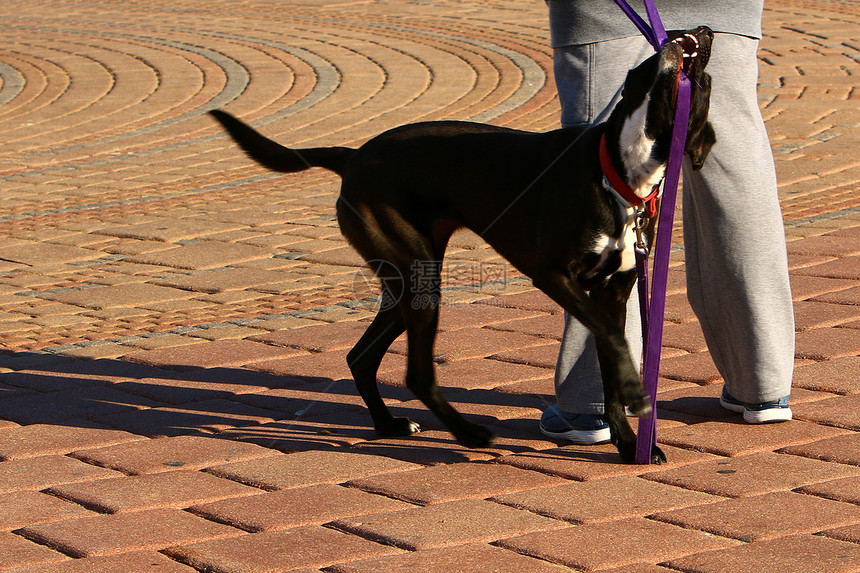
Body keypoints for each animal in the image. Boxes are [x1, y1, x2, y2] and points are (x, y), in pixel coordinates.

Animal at [212, 27, 716, 464]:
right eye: (654, 63)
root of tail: (353, 156)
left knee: (361, 356)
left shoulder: (613, 290)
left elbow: (612, 358)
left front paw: (631, 445)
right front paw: (635, 396)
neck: (617, 169)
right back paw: (468, 434)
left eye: (706, 84)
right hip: (420, 281)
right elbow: (613, 338)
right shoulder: (556, 275)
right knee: (416, 373)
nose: (705, 31)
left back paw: (389, 425)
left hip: (408, 282)